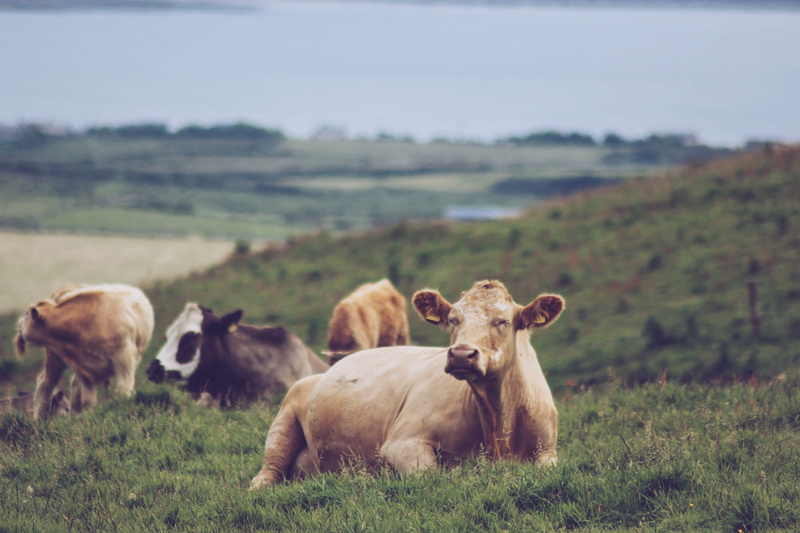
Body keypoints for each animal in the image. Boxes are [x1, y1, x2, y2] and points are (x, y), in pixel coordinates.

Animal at [14, 283, 155, 419]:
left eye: (26, 314)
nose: (19, 322)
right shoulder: (82, 364)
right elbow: (88, 399)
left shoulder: (124, 357)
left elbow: (123, 389)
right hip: (55, 357)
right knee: (46, 383)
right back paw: (40, 419)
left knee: (67, 383)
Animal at [250, 280, 564, 489]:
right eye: (453, 319)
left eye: (503, 321)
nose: (462, 354)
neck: (499, 421)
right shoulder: (402, 443)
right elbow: (432, 475)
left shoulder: (548, 452)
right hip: (284, 420)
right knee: (267, 474)